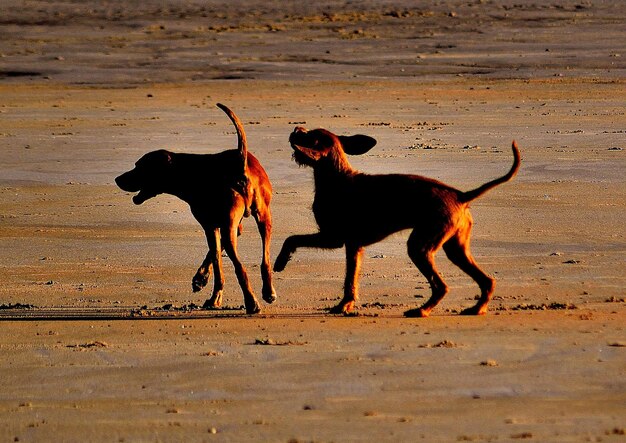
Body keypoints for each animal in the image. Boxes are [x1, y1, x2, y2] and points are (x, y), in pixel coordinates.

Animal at [115, 103, 276, 316]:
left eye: (139, 167)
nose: (117, 179)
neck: (189, 171)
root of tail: (240, 165)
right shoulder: (230, 226)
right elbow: (214, 257)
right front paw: (202, 280)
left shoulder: (211, 226)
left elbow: (217, 263)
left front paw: (212, 294)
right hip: (263, 218)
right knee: (265, 260)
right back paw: (268, 291)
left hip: (231, 230)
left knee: (240, 268)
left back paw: (251, 302)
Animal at [276, 126, 520, 318]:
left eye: (309, 136)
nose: (296, 128)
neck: (336, 177)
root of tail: (460, 195)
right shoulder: (353, 246)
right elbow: (350, 280)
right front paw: (345, 305)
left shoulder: (332, 237)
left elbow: (291, 239)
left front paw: (280, 261)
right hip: (455, 248)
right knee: (487, 281)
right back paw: (477, 308)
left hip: (420, 246)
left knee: (441, 286)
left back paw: (422, 310)